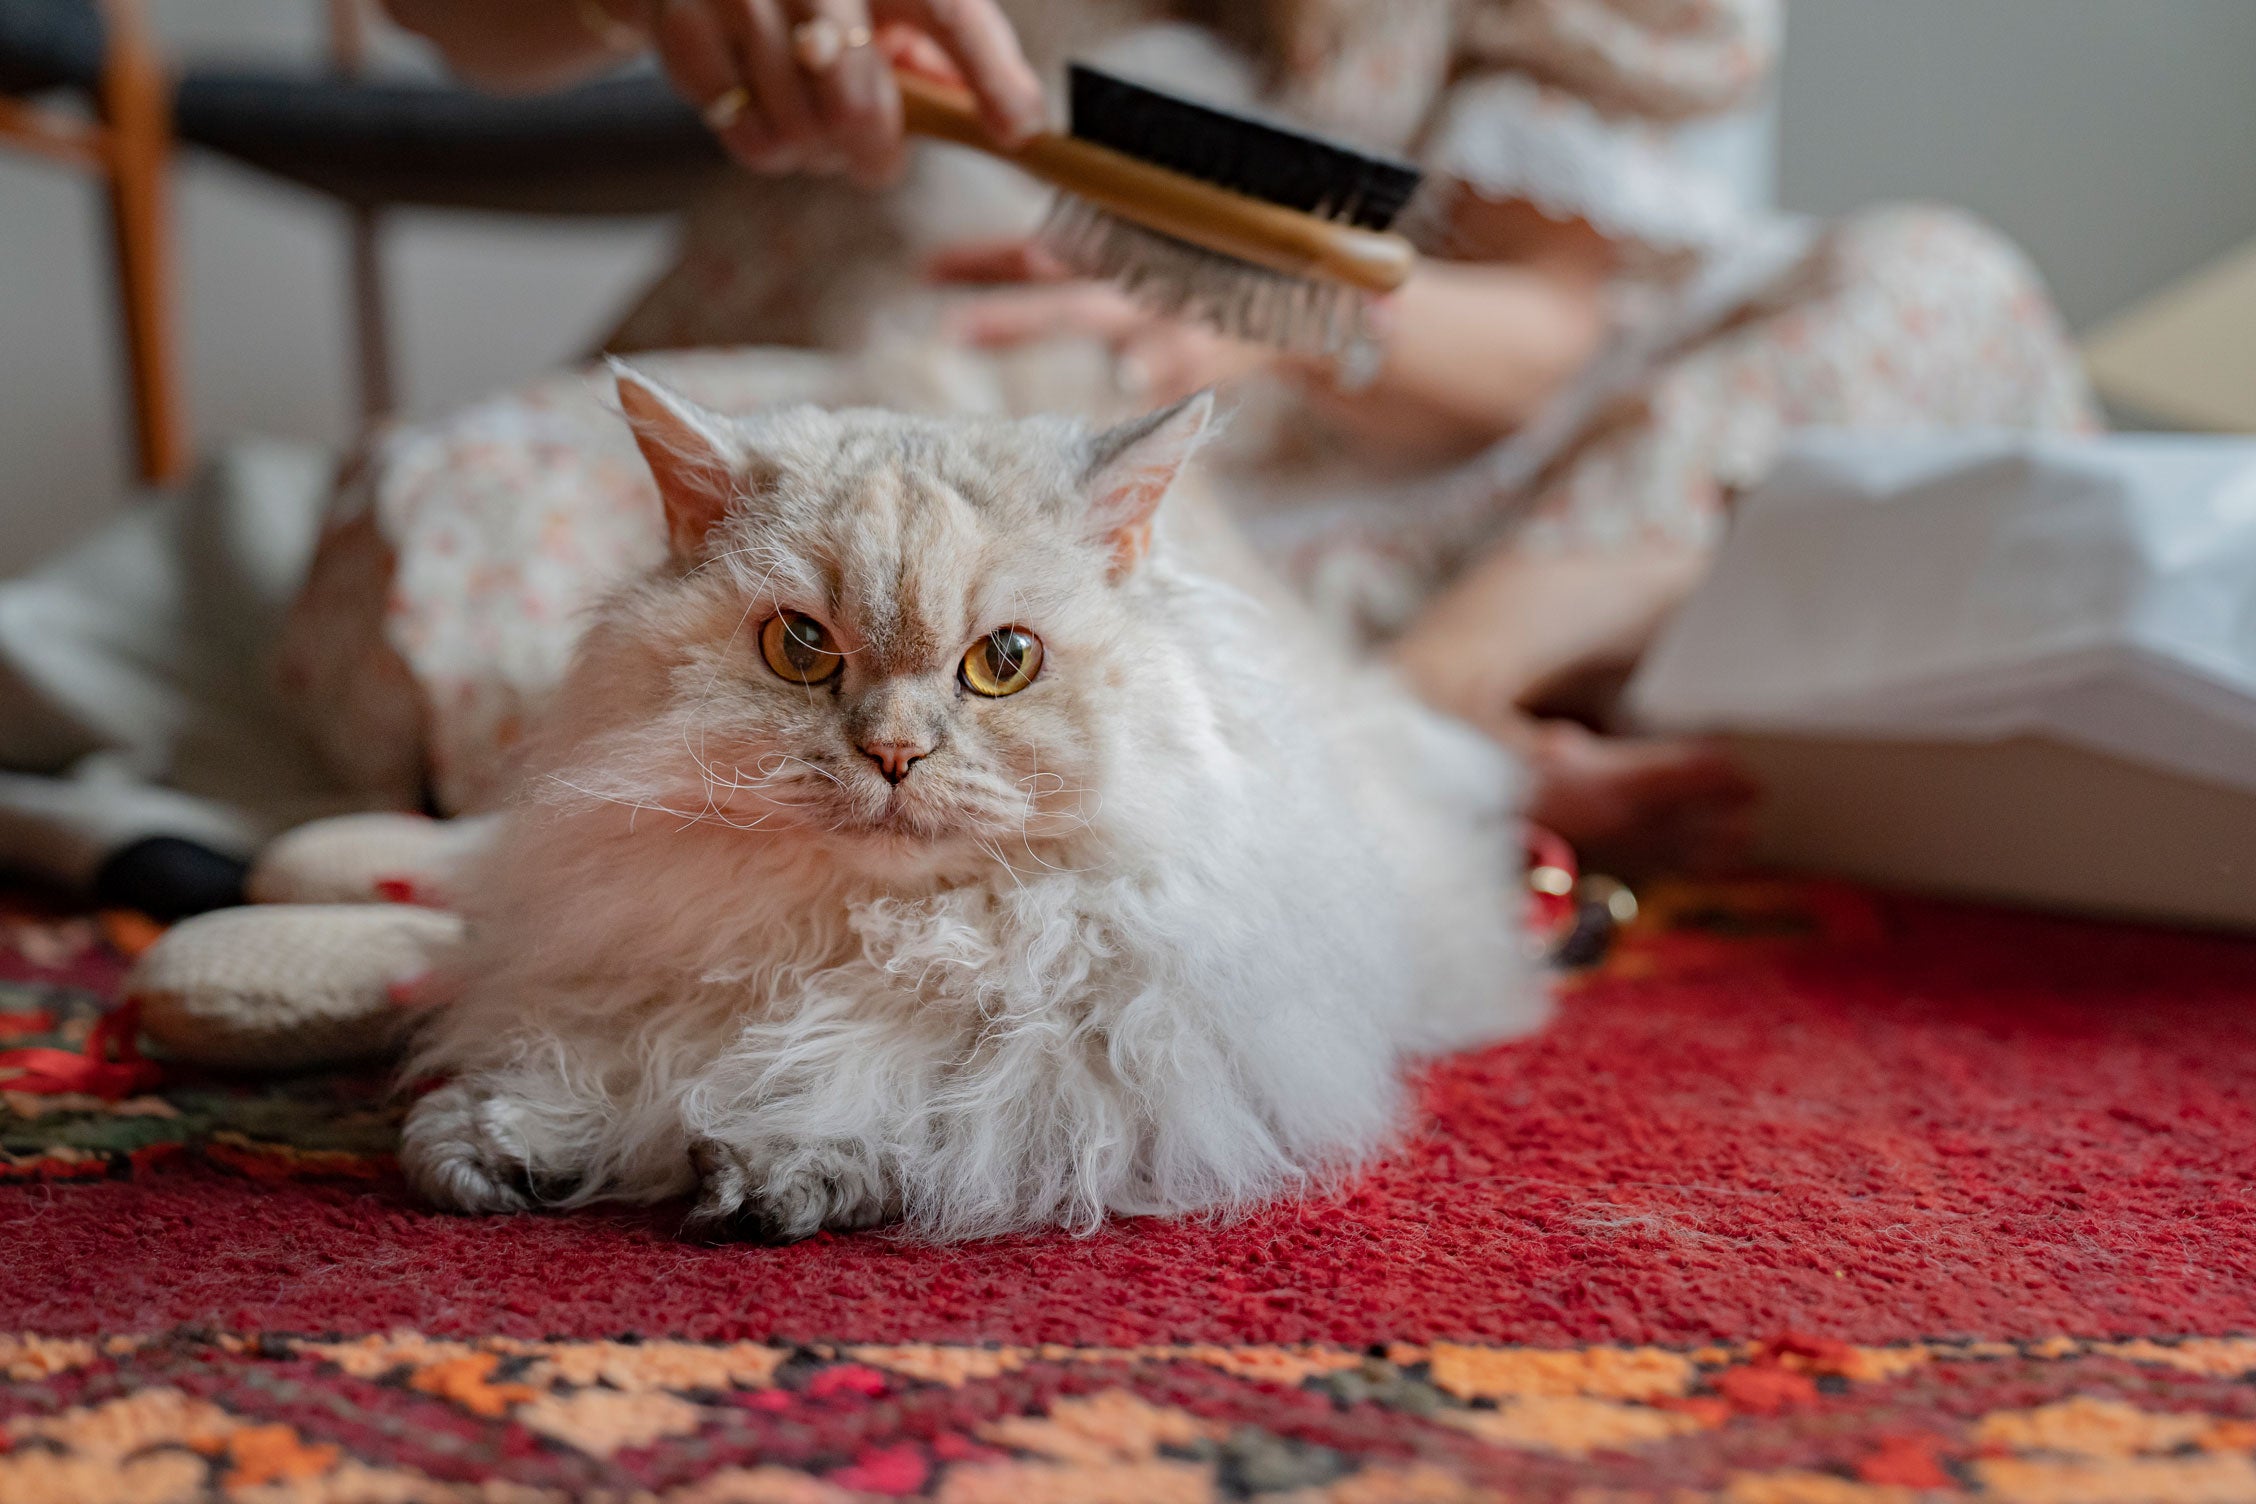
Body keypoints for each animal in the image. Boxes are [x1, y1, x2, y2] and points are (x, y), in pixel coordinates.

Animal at [397, 367, 1543, 1244]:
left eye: (1004, 663)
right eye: (800, 649)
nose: (894, 753)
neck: (861, 931)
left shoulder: (1103, 1062)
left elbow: (899, 1084)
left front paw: (781, 1159)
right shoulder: (641, 970)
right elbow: (619, 1056)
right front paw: (506, 1138)